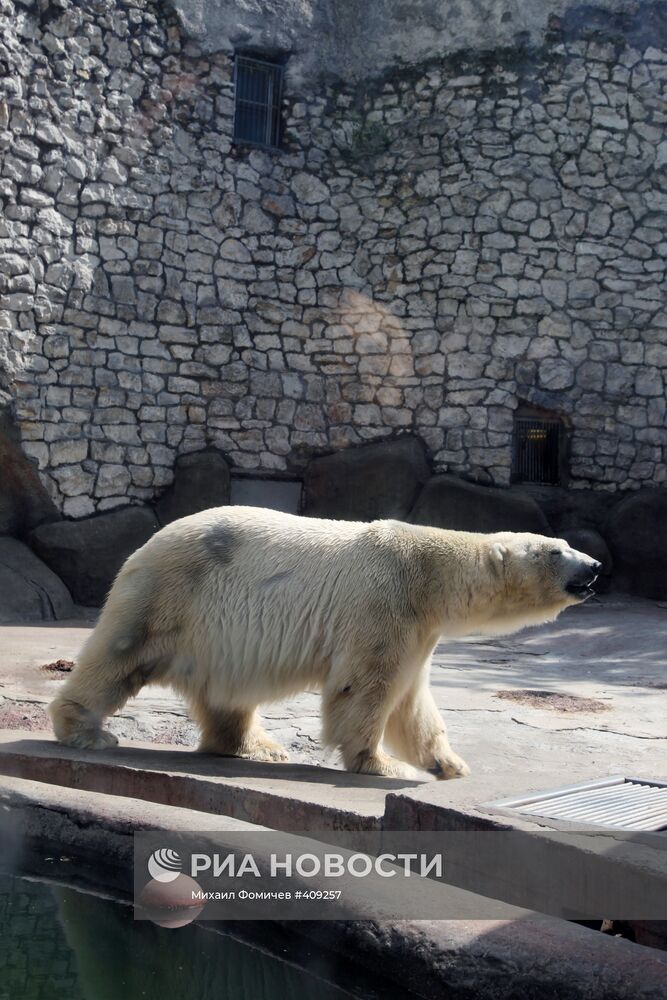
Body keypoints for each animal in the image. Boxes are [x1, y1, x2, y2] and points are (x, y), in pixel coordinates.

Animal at [47, 508, 600, 780]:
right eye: (557, 550)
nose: (595, 566)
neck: (428, 571)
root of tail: (148, 543)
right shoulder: (384, 603)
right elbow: (367, 688)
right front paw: (380, 763)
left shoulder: (420, 628)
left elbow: (413, 701)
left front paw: (449, 763)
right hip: (173, 592)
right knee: (119, 654)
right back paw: (86, 731)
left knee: (227, 695)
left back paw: (258, 747)